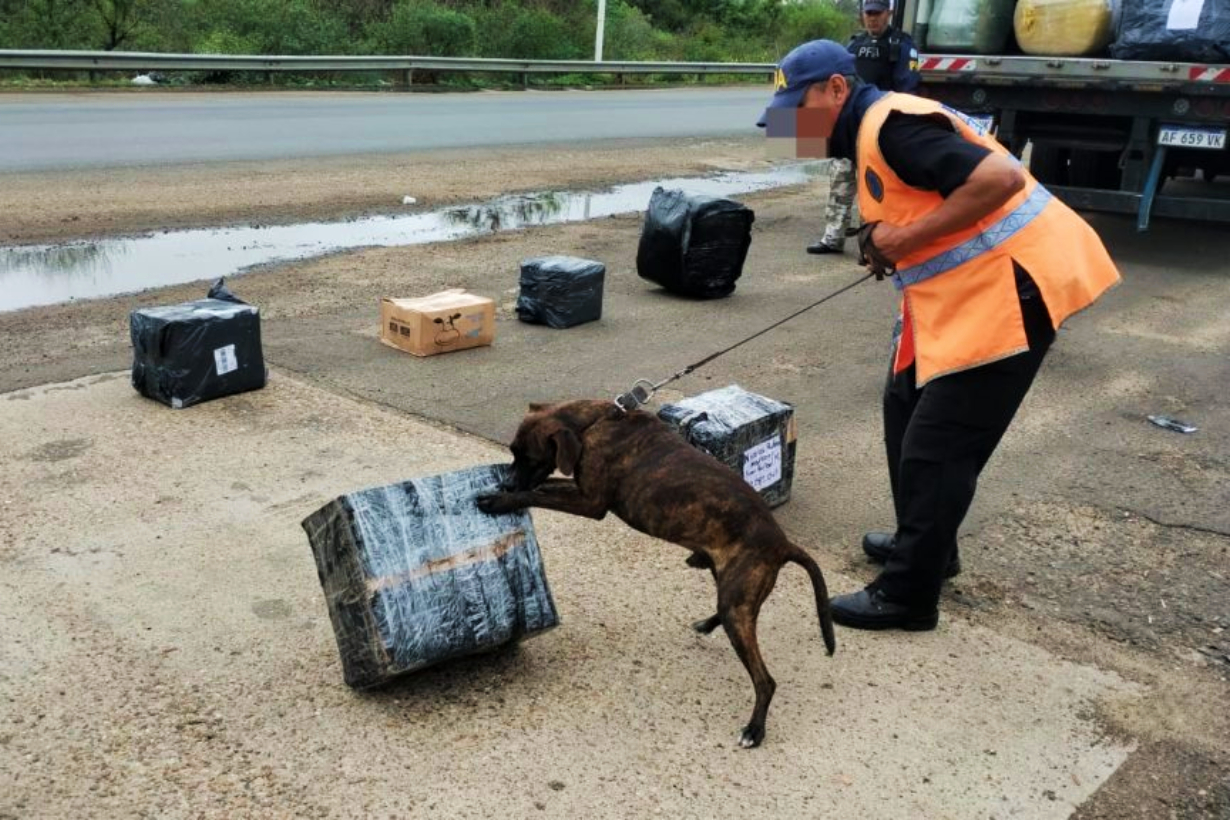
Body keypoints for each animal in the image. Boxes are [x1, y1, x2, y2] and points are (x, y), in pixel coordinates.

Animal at [477, 400, 836, 747]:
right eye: (512, 452)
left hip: (738, 599)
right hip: (731, 588)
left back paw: (755, 730)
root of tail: (782, 544)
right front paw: (504, 491)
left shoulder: (591, 503)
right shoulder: (577, 487)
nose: (507, 481)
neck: (592, 424)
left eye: (529, 457)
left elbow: (536, 493)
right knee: (727, 612)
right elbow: (547, 487)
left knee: (765, 680)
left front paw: (499, 500)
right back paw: (708, 623)